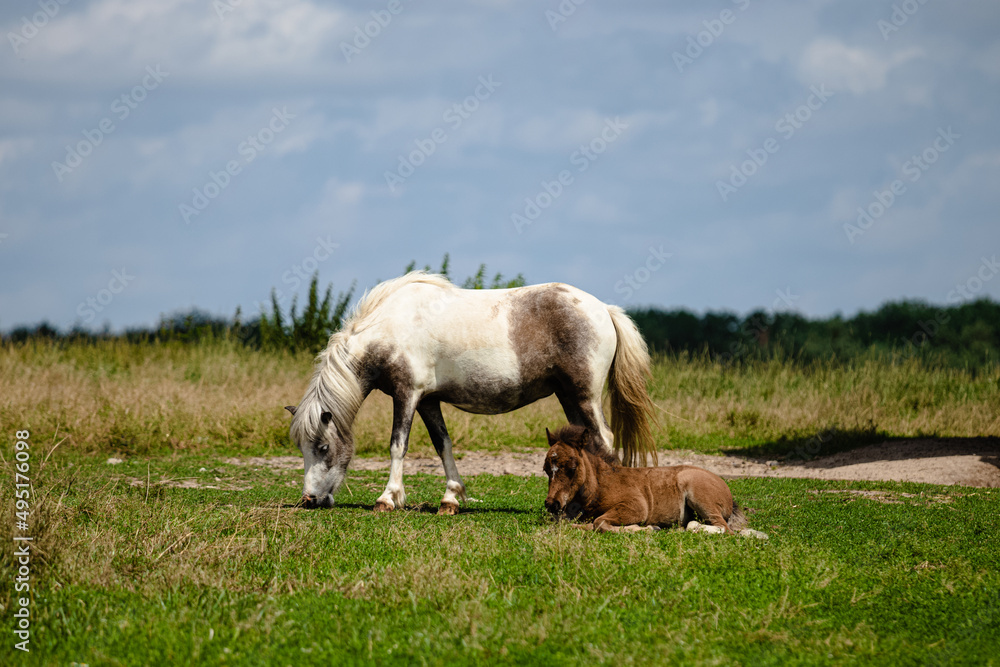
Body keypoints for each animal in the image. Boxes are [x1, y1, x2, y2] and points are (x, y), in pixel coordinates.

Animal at [285, 271, 658, 514]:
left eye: (322, 447)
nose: (309, 500)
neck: (390, 327)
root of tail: (603, 309)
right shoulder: (428, 401)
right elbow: (443, 445)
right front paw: (450, 499)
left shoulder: (407, 394)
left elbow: (397, 445)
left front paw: (388, 499)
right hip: (568, 397)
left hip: (585, 396)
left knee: (605, 440)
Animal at [543, 425, 761, 535]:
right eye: (546, 469)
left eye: (572, 469)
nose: (552, 504)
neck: (599, 486)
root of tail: (727, 493)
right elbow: (577, 524)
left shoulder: (636, 506)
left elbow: (600, 523)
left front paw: (647, 529)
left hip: (701, 497)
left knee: (724, 528)